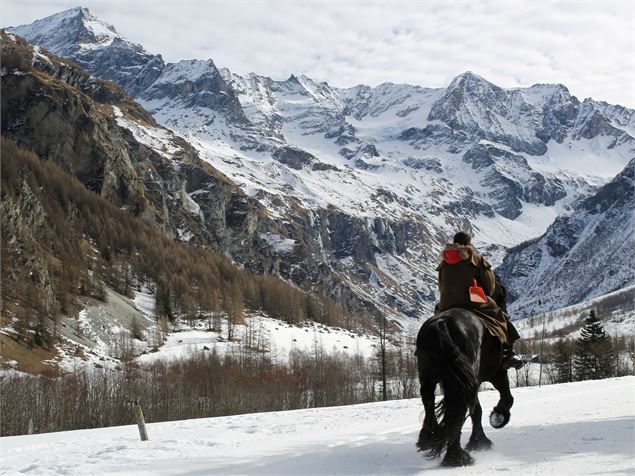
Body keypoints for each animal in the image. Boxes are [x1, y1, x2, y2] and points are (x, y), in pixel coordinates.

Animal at [414, 306, 516, 466]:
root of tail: (440, 323)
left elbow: (476, 410)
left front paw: (478, 440)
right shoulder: (498, 373)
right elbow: (507, 398)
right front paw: (498, 418)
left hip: (430, 377)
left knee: (429, 399)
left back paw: (429, 437)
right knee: (458, 408)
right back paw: (456, 455)